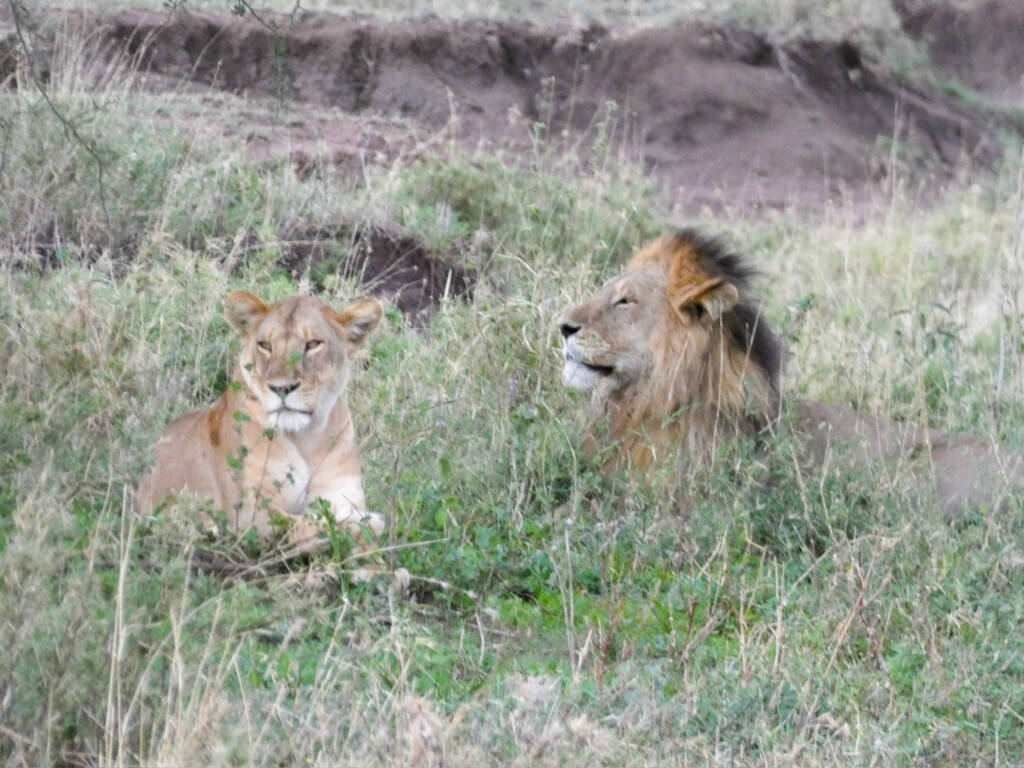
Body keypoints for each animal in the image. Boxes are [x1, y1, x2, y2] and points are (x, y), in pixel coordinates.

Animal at [137, 290, 386, 554]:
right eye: (265, 345)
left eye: (313, 344)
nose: (281, 388)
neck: (306, 438)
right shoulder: (251, 515)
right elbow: (309, 524)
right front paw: (366, 524)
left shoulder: (341, 495)